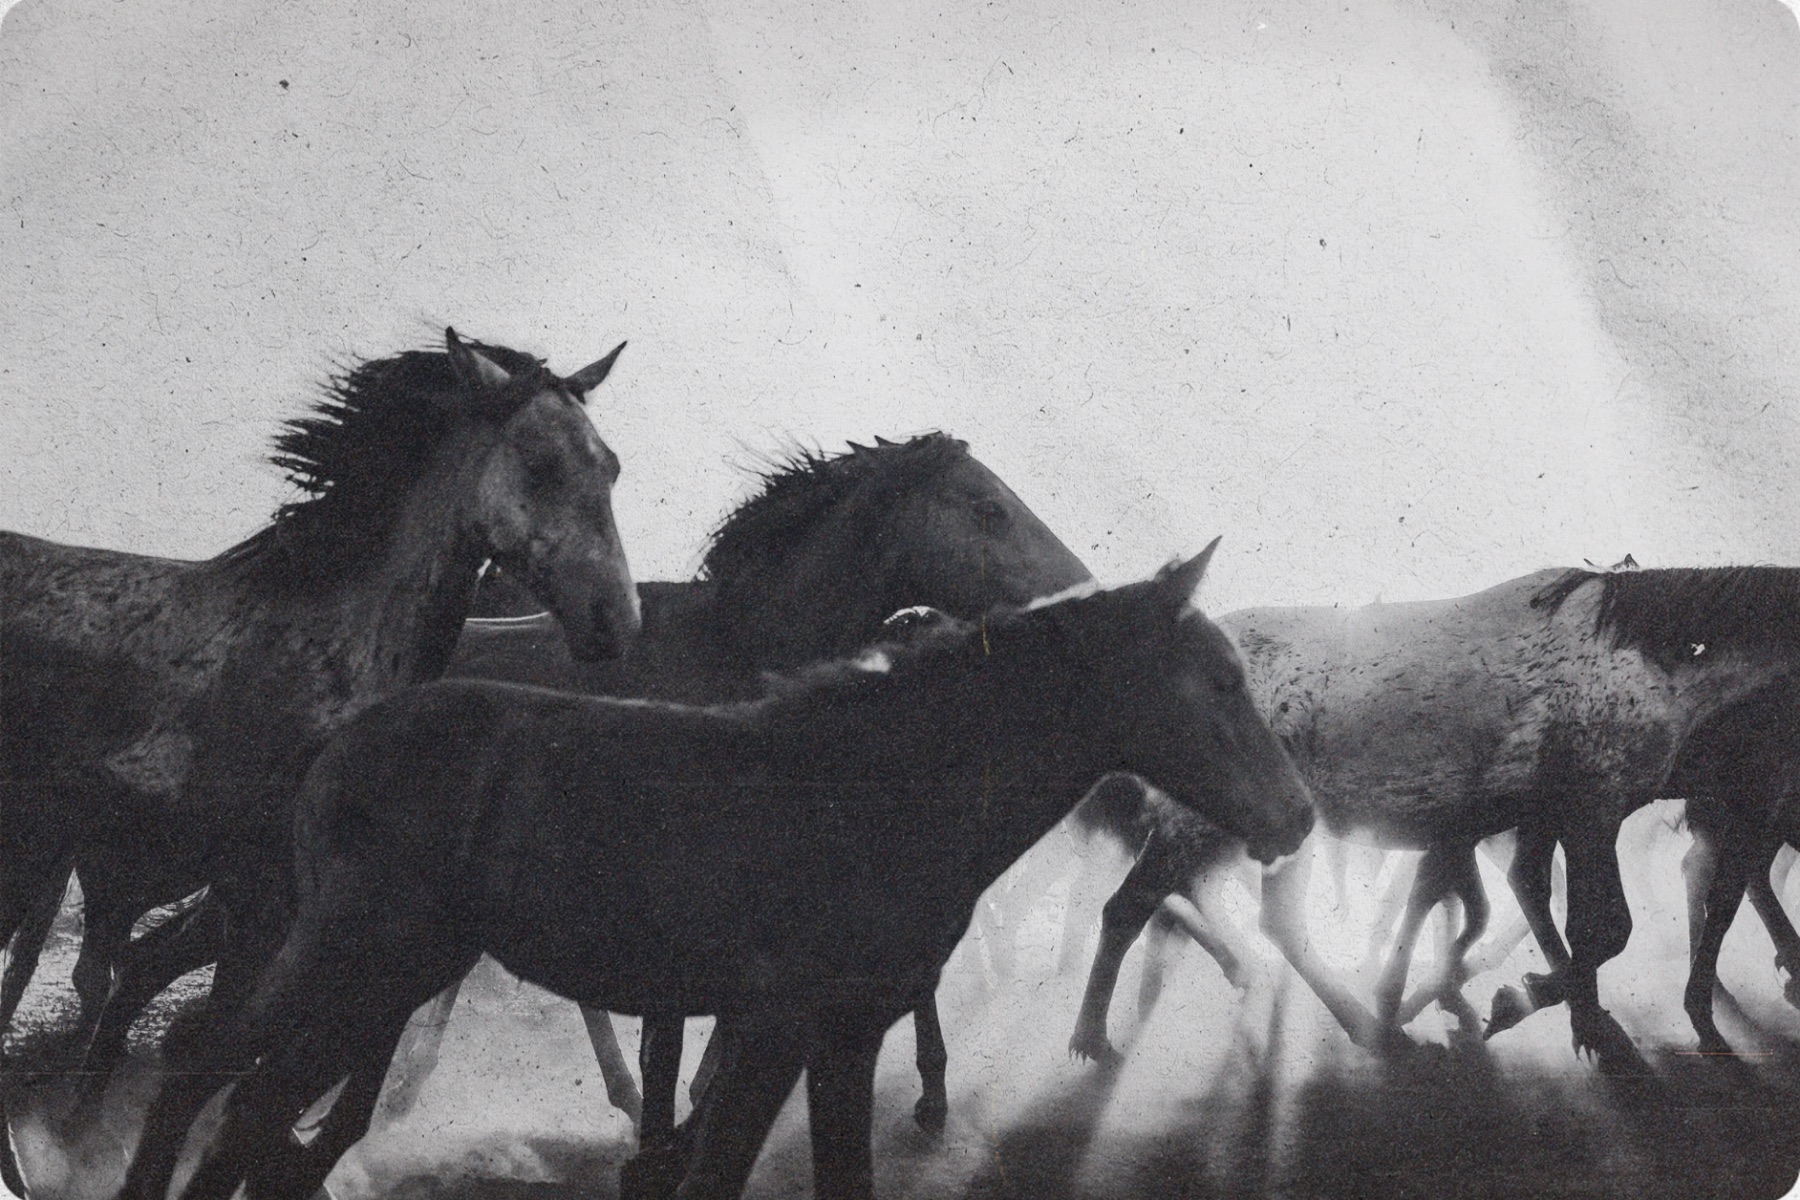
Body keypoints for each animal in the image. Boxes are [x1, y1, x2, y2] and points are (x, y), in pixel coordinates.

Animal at [0, 327, 641, 1200]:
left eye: (610, 466)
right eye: (539, 465)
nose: (616, 623)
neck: (330, 656)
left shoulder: (326, 925)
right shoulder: (259, 905)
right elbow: (218, 1066)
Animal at [148, 547, 1317, 1200]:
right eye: (1220, 678)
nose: (1296, 816)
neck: (881, 789)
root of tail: (334, 746)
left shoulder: (843, 1036)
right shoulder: (776, 1026)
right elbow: (708, 1169)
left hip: (391, 972)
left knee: (239, 1095)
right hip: (361, 961)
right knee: (218, 1077)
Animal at [1060, 568, 1800, 1073]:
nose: (1765, 800)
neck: (1653, 662)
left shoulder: (1543, 815)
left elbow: (1546, 913)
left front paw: (1569, 1016)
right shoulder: (1589, 807)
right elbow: (1601, 926)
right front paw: (1522, 1003)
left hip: (1285, 831)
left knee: (1280, 924)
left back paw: (1369, 1024)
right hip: (1197, 827)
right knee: (1127, 910)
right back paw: (1092, 1039)